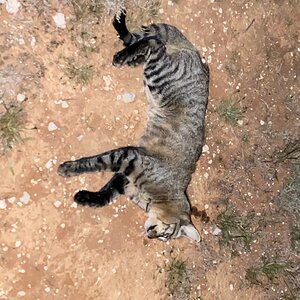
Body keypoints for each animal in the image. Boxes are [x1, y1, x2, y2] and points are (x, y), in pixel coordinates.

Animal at [58, 10, 209, 243]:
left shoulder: (127, 171)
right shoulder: (130, 157)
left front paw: (89, 198)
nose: (151, 236)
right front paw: (69, 169)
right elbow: (95, 162)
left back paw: (129, 53)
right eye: (167, 234)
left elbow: (107, 191)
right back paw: (124, 52)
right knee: (153, 42)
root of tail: (192, 50)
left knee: (146, 42)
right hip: (159, 71)